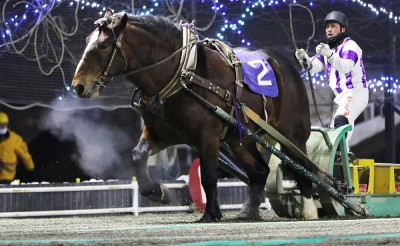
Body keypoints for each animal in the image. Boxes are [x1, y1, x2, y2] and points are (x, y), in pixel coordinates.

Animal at [70, 9, 318, 221]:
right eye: (87, 41)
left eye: (103, 45)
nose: (78, 86)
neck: (182, 73)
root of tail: (287, 66)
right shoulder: (162, 134)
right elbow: (138, 155)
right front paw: (158, 192)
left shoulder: (208, 135)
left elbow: (208, 175)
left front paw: (211, 213)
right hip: (240, 139)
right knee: (259, 171)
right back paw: (249, 210)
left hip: (293, 134)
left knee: (305, 167)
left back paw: (308, 208)